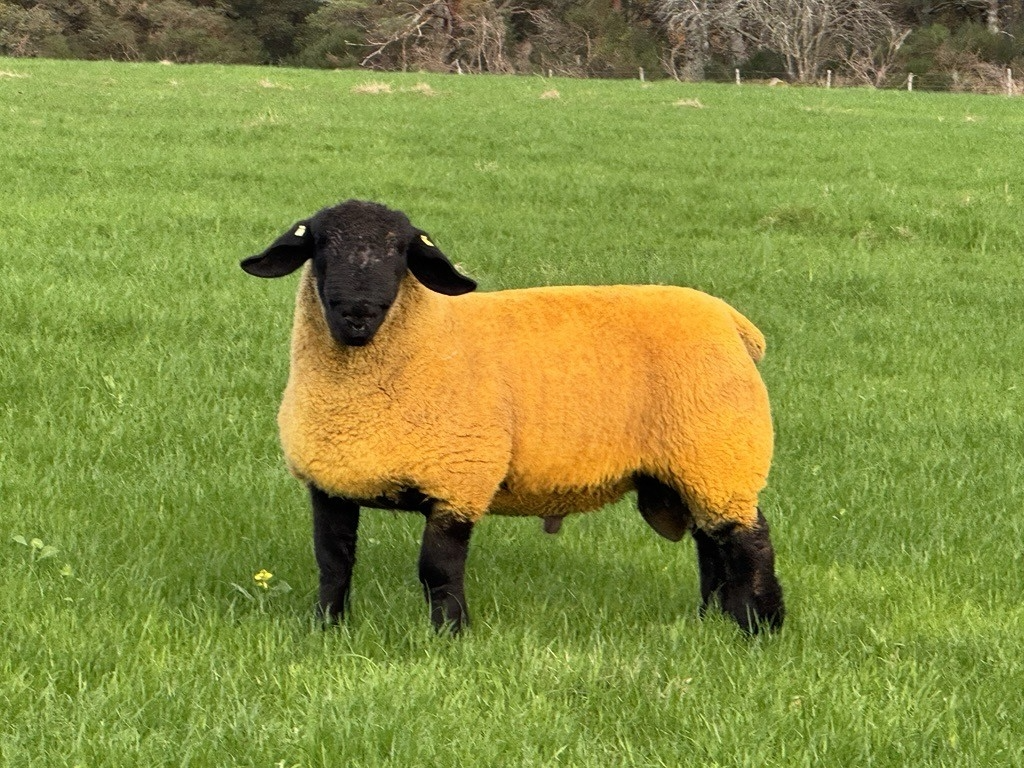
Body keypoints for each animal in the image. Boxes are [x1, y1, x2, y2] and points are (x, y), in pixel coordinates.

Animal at [240, 199, 784, 634]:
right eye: (320, 244)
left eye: (400, 251)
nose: (357, 312)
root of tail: (734, 324)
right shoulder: (330, 481)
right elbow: (333, 562)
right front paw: (325, 628)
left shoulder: (459, 479)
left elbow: (437, 570)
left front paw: (450, 635)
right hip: (695, 467)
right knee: (712, 544)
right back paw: (712, 621)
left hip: (721, 453)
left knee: (748, 541)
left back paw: (759, 629)